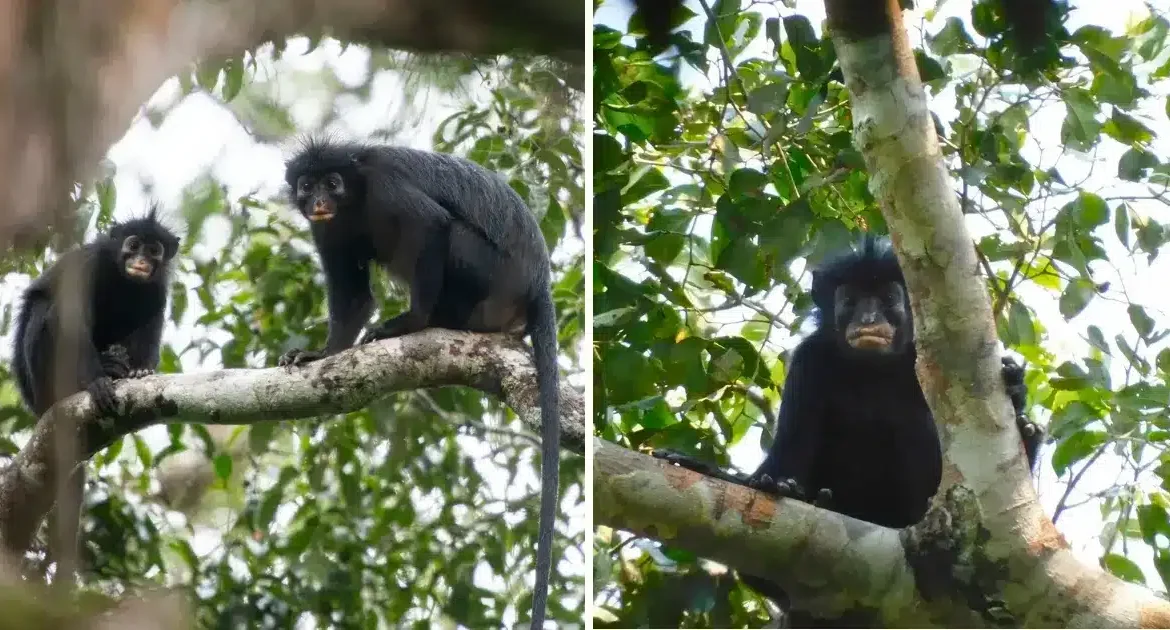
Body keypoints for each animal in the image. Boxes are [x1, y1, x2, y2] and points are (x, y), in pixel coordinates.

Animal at [12, 205, 179, 418]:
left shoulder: (158, 288)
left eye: (153, 250)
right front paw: (96, 381)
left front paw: (141, 369)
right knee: (42, 308)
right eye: (133, 245)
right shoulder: (88, 264)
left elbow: (151, 323)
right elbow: (70, 319)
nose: (141, 261)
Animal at [276, 138, 561, 630]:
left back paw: (438, 320)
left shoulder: (386, 187)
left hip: (492, 278)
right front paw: (322, 354)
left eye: (332, 183)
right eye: (307, 186)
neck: (356, 200)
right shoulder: (328, 232)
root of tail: (537, 282)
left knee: (455, 236)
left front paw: (412, 322)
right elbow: (354, 297)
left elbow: (433, 224)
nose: (319, 202)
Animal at [654, 234, 1042, 626]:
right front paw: (711, 470)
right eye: (851, 300)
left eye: (887, 299)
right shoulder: (809, 359)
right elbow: (781, 463)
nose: (869, 319)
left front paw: (1015, 389)